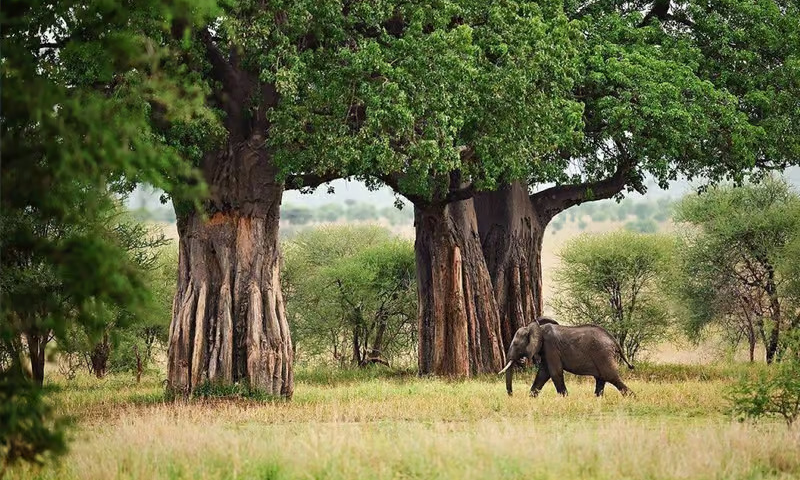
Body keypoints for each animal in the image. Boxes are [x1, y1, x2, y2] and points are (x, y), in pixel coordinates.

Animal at [499, 318, 634, 397]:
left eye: (516, 344)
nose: (511, 395)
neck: (538, 328)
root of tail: (614, 341)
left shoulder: (550, 347)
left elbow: (554, 372)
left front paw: (565, 398)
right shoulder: (546, 351)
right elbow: (543, 374)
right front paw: (531, 398)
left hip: (603, 354)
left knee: (611, 377)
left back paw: (632, 398)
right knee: (601, 379)